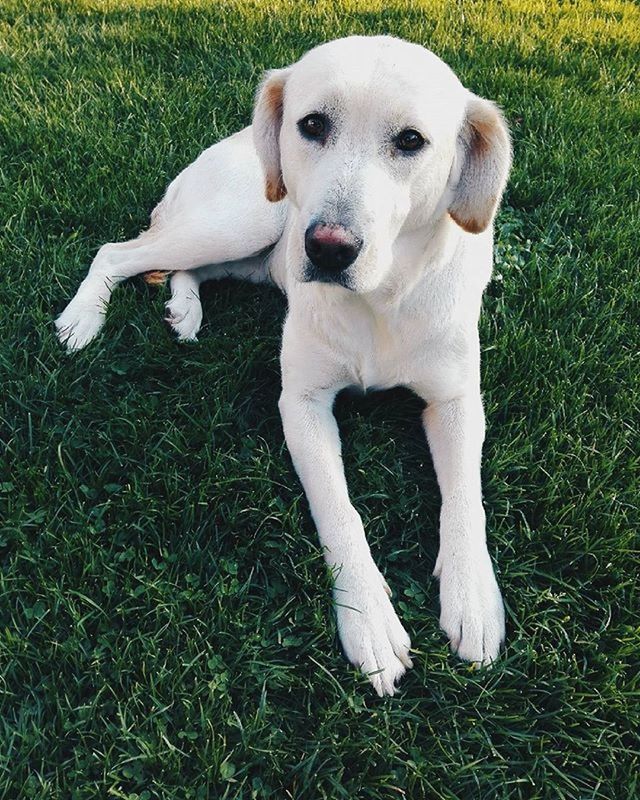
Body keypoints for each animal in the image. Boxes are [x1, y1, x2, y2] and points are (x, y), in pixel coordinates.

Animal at [57, 34, 512, 696]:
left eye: (410, 141)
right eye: (313, 124)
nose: (327, 248)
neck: (380, 296)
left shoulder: (455, 402)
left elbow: (465, 500)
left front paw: (473, 596)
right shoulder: (301, 404)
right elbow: (341, 511)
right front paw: (369, 619)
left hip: (257, 255)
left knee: (187, 270)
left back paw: (185, 309)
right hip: (245, 221)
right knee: (117, 252)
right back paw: (82, 318)